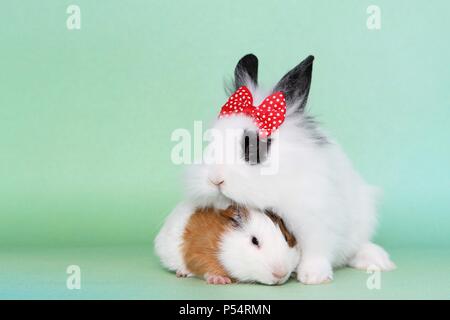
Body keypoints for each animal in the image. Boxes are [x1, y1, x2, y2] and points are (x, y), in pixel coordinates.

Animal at [179, 53, 394, 284]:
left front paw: (313, 277)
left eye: (254, 146)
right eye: (211, 142)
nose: (216, 180)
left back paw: (379, 261)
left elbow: (316, 250)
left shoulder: (315, 218)